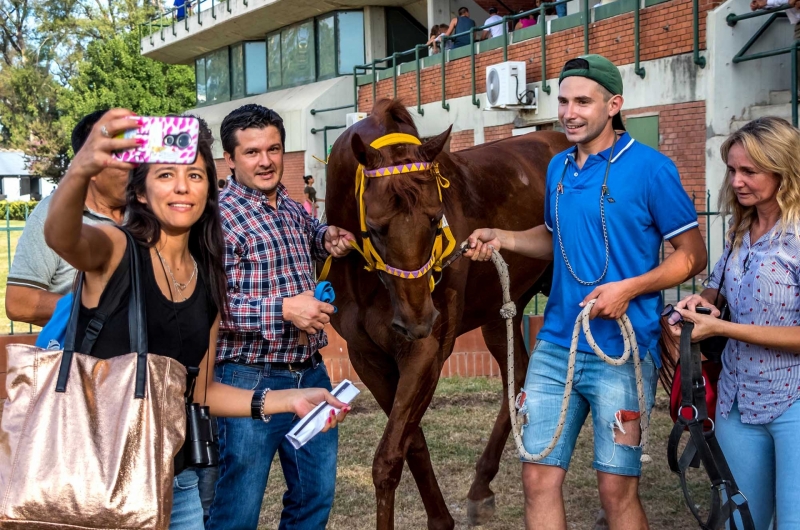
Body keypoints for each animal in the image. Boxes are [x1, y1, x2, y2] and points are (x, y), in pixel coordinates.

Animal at [324, 100, 568, 528]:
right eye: (375, 227)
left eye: (436, 218)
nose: (419, 321)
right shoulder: (367, 356)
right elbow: (412, 443)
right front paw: (440, 519)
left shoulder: (428, 351)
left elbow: (389, 457)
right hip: (500, 309)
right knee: (517, 374)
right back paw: (481, 484)